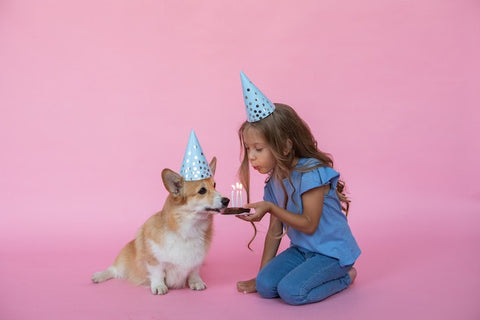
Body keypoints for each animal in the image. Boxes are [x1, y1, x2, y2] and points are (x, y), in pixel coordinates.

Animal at [94, 158, 231, 296]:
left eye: (215, 185)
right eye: (202, 191)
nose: (227, 200)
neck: (190, 229)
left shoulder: (197, 260)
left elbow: (194, 272)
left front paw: (196, 282)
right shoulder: (154, 260)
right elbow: (157, 274)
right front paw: (159, 286)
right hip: (122, 263)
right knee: (113, 270)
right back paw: (98, 276)